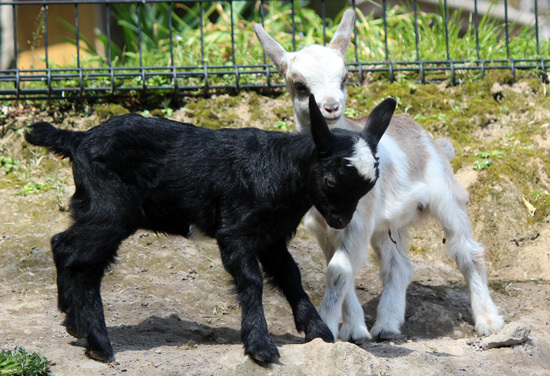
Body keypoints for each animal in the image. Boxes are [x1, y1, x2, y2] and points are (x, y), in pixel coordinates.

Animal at [254, 9, 504, 344]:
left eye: (344, 78)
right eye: (300, 85)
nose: (330, 107)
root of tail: (431, 140)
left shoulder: (357, 222)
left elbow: (338, 271)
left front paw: (329, 329)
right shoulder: (326, 228)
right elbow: (339, 271)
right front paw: (354, 330)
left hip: (446, 200)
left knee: (467, 252)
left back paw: (489, 322)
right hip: (387, 224)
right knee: (398, 266)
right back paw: (386, 325)